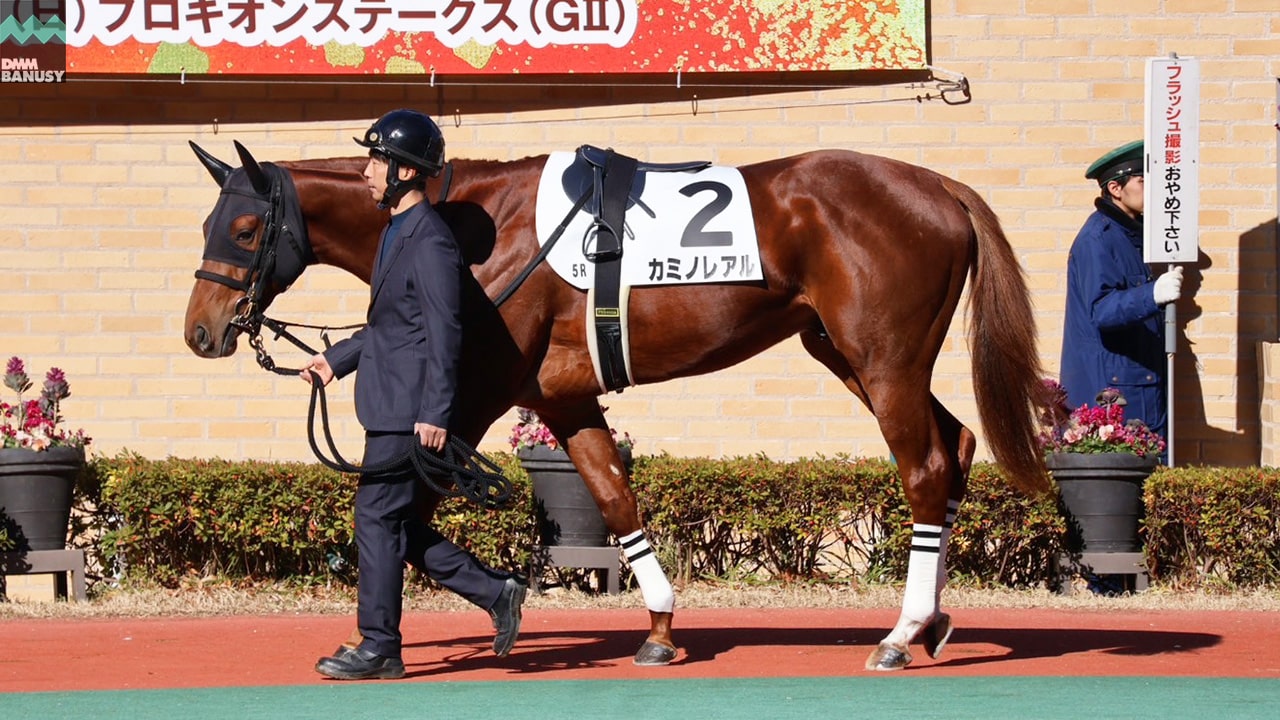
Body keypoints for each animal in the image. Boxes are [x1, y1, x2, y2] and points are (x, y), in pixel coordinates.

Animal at [183, 139, 1049, 666]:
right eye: (208, 221)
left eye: (247, 226)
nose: (201, 331)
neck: (478, 228)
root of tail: (938, 186)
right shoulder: (562, 399)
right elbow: (612, 498)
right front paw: (659, 626)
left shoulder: (471, 394)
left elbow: (406, 513)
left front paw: (391, 642)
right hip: (847, 355)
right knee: (957, 448)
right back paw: (933, 621)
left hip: (883, 359)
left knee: (926, 468)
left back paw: (899, 635)